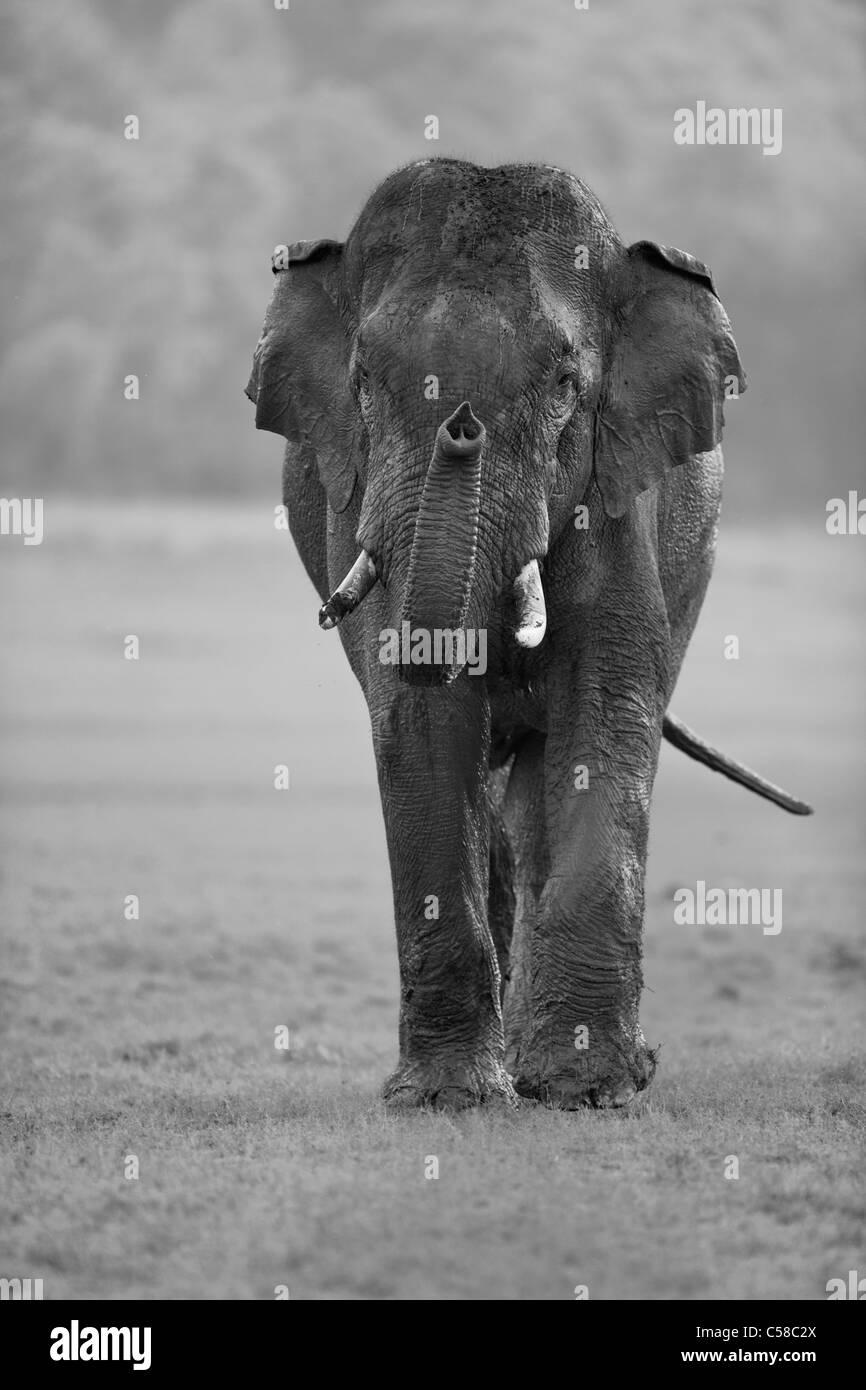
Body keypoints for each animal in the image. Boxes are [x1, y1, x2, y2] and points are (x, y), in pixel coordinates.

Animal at [246, 162, 811, 1112]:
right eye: (362, 381)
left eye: (564, 384)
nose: (461, 423)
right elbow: (419, 713)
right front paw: (445, 1098)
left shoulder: (617, 494)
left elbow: (605, 705)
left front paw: (590, 1089)